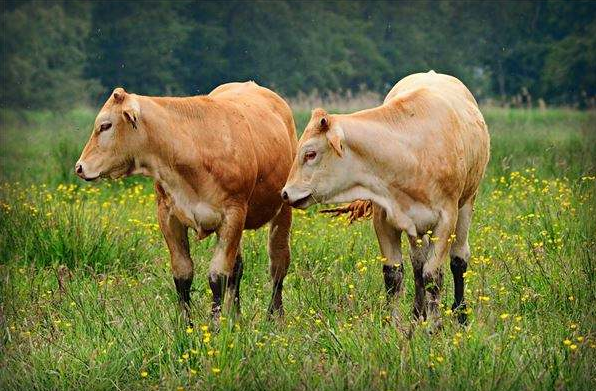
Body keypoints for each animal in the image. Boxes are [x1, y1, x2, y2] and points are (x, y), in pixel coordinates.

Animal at [75, 81, 296, 324]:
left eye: (105, 125)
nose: (79, 167)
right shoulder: (168, 216)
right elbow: (183, 274)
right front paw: (185, 325)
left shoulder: (233, 215)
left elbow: (217, 275)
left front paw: (215, 325)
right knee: (237, 268)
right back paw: (235, 318)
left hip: (283, 209)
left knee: (278, 264)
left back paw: (275, 317)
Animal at [282, 71, 488, 330]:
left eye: (310, 154)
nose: (285, 193)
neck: (410, 151)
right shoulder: (384, 220)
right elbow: (394, 274)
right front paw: (395, 324)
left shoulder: (446, 219)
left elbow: (433, 275)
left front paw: (434, 327)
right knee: (418, 263)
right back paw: (418, 313)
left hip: (467, 204)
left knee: (458, 260)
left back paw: (460, 314)